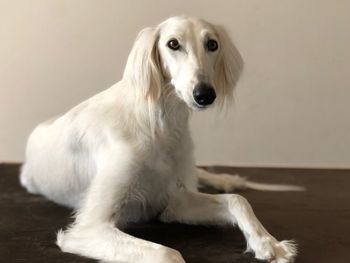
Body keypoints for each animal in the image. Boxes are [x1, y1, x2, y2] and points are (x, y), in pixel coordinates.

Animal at [19, 16, 300, 263]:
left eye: (212, 44)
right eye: (173, 44)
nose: (204, 94)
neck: (158, 126)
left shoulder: (175, 203)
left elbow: (238, 201)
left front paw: (267, 242)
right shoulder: (88, 227)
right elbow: (168, 253)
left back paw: (226, 179)